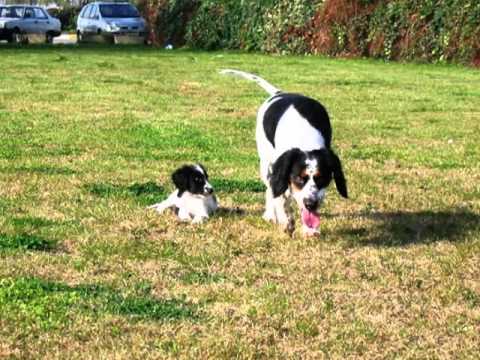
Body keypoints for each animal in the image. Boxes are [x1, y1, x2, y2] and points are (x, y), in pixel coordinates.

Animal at [219, 69, 346, 236]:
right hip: (265, 162)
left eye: (322, 178)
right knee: (270, 189)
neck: (304, 137)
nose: (311, 204)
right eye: (299, 178)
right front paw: (285, 221)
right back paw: (270, 214)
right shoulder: (278, 170)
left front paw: (309, 229)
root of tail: (279, 93)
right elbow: (279, 196)